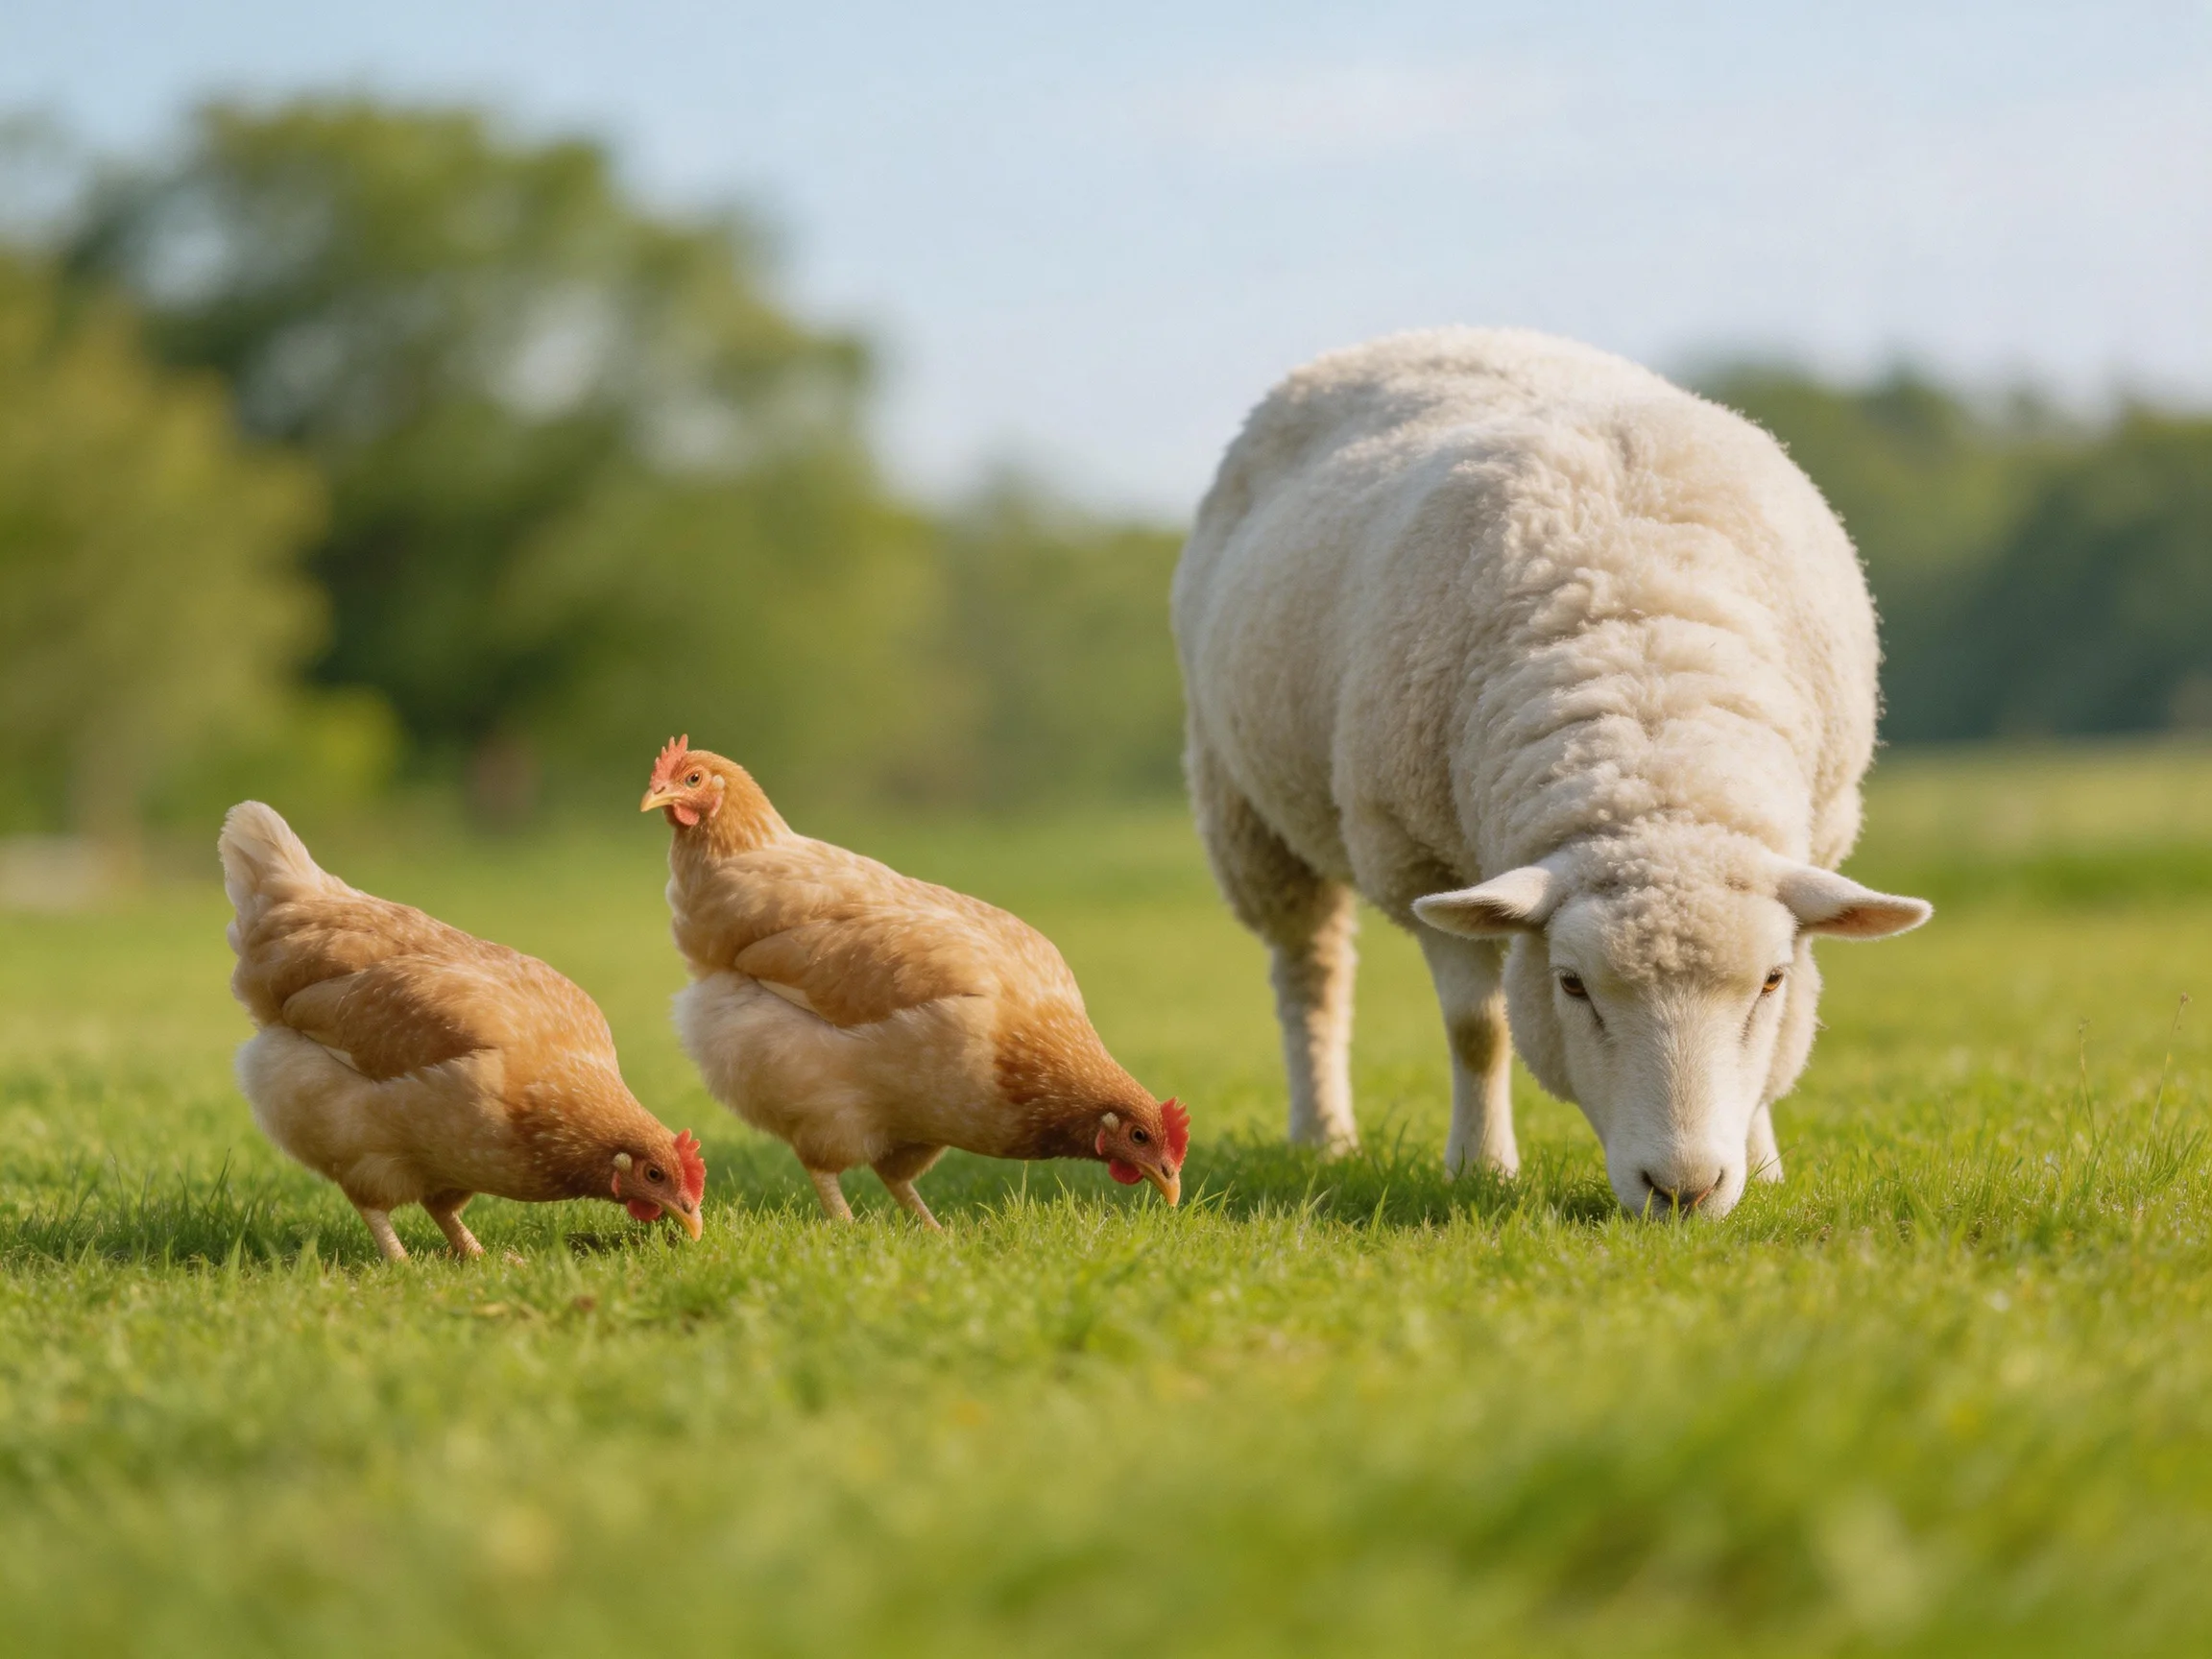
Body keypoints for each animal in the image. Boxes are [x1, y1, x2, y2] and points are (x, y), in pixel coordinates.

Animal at [1172, 328, 1930, 1218]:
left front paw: (1767, 1168)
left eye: (1771, 981)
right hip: (1248, 813)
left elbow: (1780, 1055)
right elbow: (1477, 1029)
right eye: (1572, 985)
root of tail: (1430, 332)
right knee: (1311, 975)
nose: (1682, 1190)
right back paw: (1324, 1136)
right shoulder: (1415, 858)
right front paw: (1480, 1169)